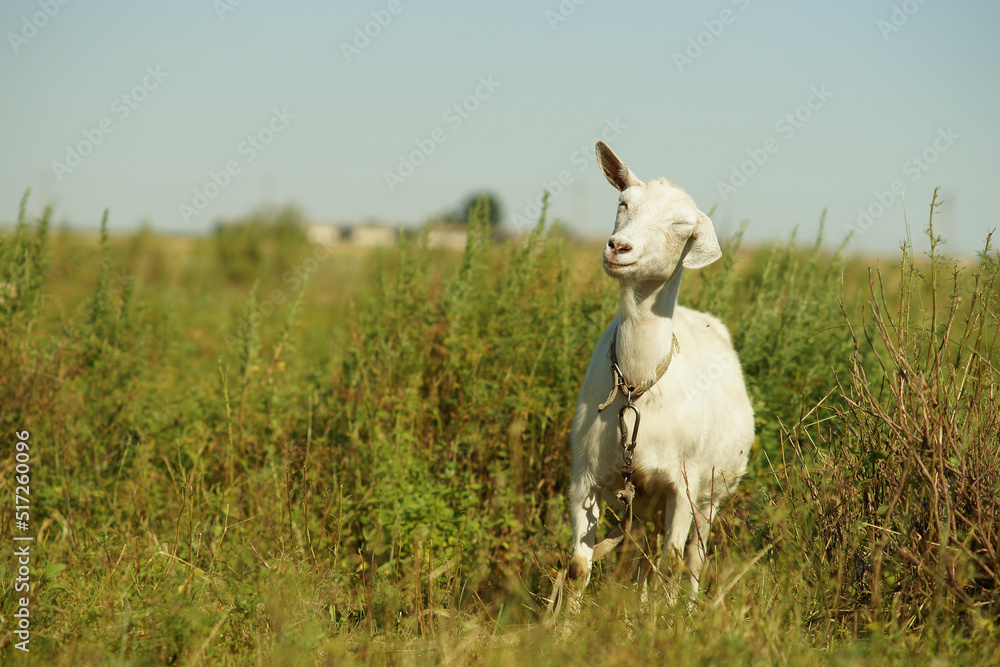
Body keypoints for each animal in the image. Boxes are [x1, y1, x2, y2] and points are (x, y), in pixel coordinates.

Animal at [566, 141, 754, 601]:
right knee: (638, 552)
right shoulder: (585, 477)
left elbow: (671, 563)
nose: (619, 247)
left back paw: (684, 607)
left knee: (692, 558)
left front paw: (665, 619)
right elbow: (579, 567)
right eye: (623, 203)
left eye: (682, 225)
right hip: (643, 496)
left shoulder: (683, 485)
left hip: (709, 493)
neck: (637, 386)